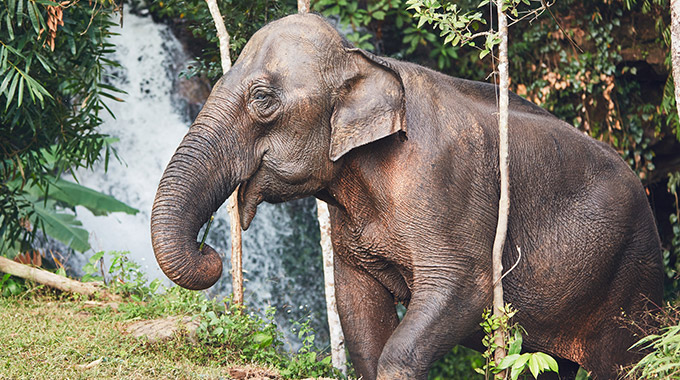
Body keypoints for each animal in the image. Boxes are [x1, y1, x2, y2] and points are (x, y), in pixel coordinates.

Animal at [150, 12, 664, 380]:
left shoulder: (444, 177)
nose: (209, 251)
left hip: (634, 276)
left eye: (262, 99)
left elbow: (461, 287)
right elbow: (359, 313)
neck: (365, 61)